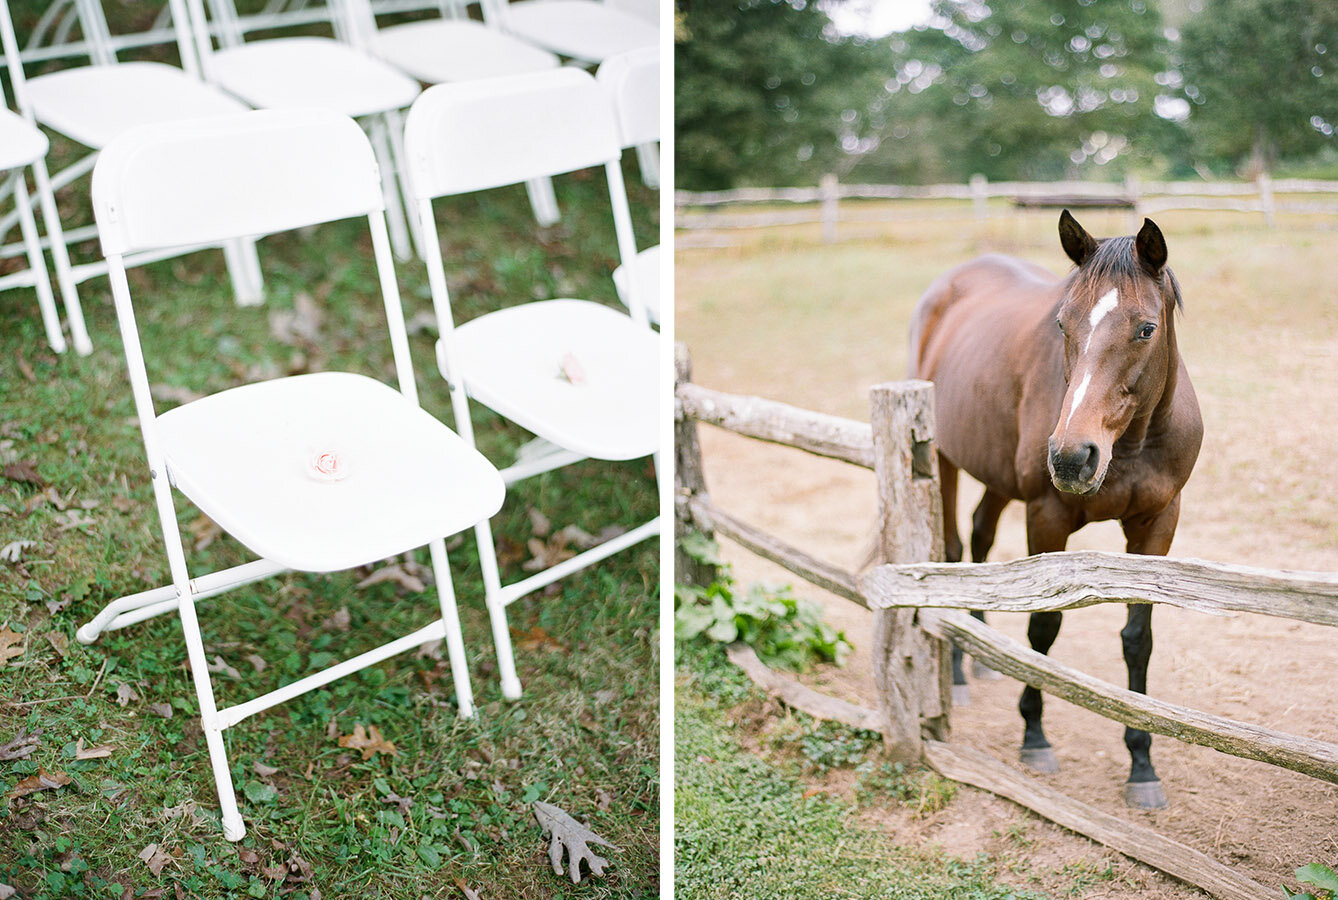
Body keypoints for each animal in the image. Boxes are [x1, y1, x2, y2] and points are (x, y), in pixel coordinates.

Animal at [909, 211, 1204, 807]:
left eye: (1146, 329)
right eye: (1064, 325)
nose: (1071, 457)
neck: (1132, 445)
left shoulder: (1157, 526)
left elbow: (1138, 639)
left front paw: (1142, 764)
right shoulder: (1046, 518)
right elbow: (1043, 627)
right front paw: (1035, 736)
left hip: (996, 472)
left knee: (979, 537)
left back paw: (980, 650)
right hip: (946, 458)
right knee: (952, 549)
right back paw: (958, 672)